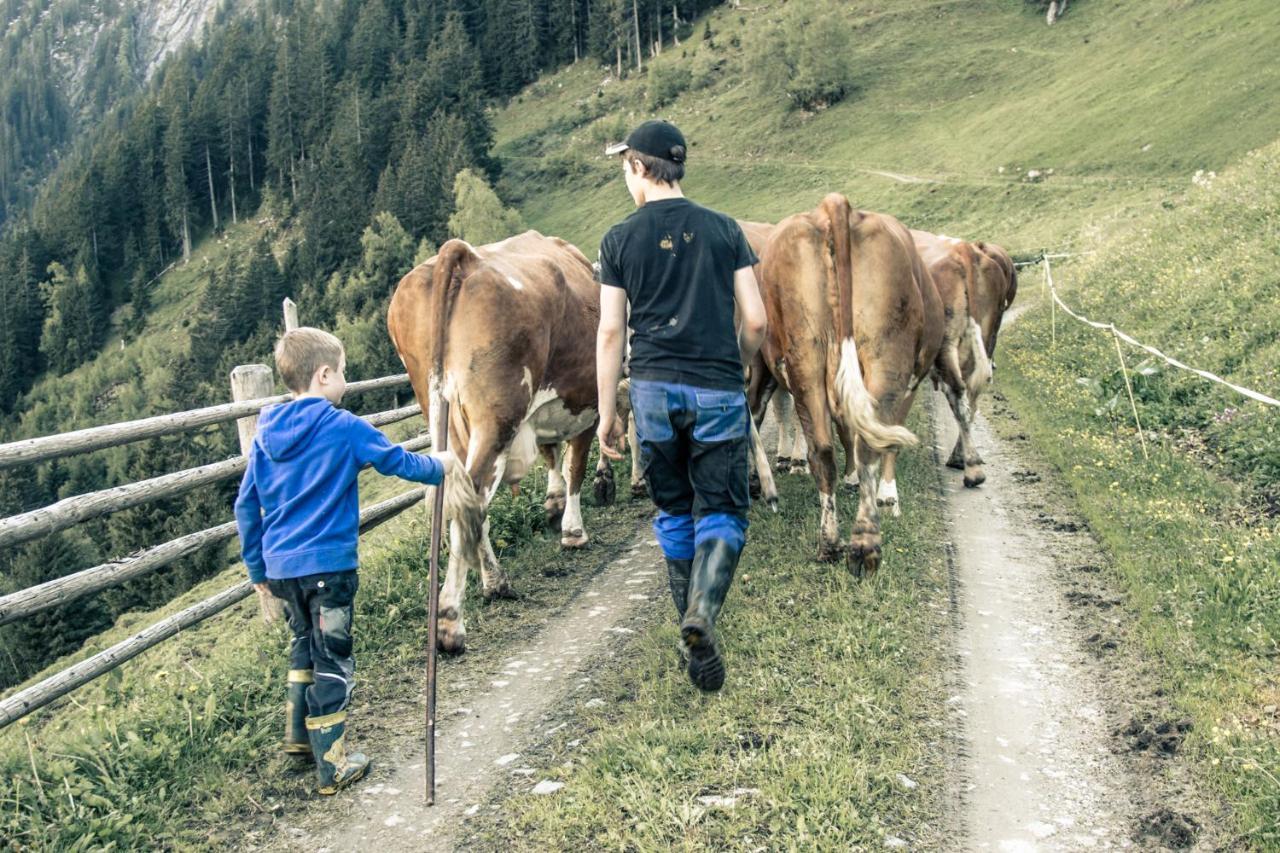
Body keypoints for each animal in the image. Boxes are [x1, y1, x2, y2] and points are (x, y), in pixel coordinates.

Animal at [386, 229, 611, 648]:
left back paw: (494, 581)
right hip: (497, 420)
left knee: (460, 500)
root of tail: (461, 255)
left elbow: (552, 453)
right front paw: (574, 530)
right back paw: (451, 620)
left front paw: (554, 505)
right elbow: (576, 466)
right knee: (471, 500)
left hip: (442, 414)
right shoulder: (588, 401)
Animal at [747, 195, 936, 573]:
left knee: (820, 447)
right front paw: (886, 495)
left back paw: (834, 542)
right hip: (887, 356)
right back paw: (865, 543)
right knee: (870, 444)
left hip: (806, 354)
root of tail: (834, 204)